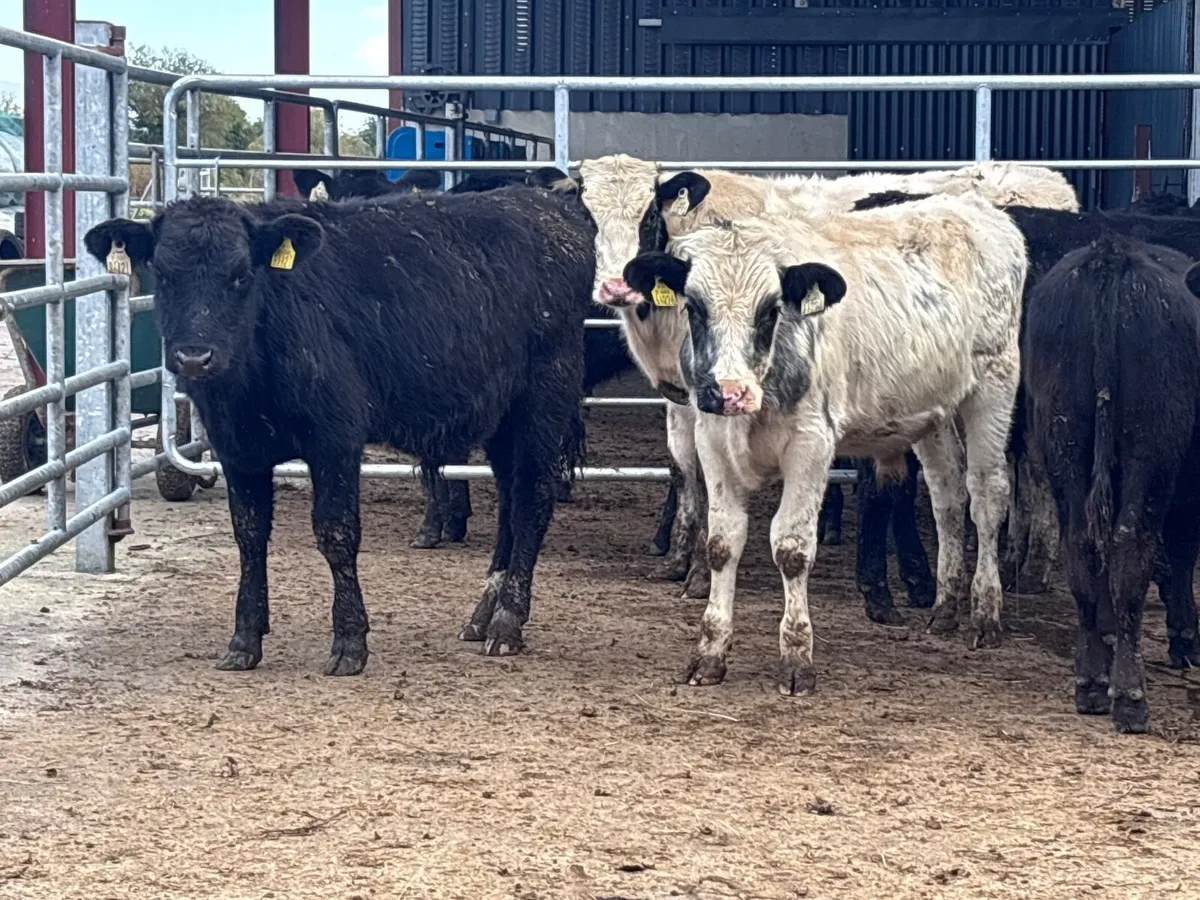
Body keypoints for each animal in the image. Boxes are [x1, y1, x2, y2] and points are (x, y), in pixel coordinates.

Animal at [83, 185, 596, 672]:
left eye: (241, 275)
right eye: (164, 275)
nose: (194, 357)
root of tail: (549, 206)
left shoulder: (335, 437)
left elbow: (336, 532)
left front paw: (350, 641)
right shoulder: (237, 447)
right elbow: (249, 534)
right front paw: (244, 639)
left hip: (544, 400)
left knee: (532, 498)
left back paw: (508, 622)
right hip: (502, 417)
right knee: (511, 498)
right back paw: (483, 614)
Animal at [621, 190, 1027, 694]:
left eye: (771, 311)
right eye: (694, 308)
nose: (730, 392)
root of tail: (975, 206)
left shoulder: (811, 445)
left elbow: (792, 548)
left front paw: (797, 659)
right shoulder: (712, 438)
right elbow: (722, 544)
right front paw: (709, 652)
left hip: (994, 386)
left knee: (986, 497)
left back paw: (986, 614)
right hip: (932, 411)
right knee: (947, 499)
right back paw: (945, 608)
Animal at [1024, 236, 1200, 733]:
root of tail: (1111, 255)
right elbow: (1181, 556)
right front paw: (1185, 636)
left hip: (1065, 439)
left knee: (1082, 545)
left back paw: (1091, 680)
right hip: (1152, 450)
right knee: (1130, 548)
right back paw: (1129, 695)